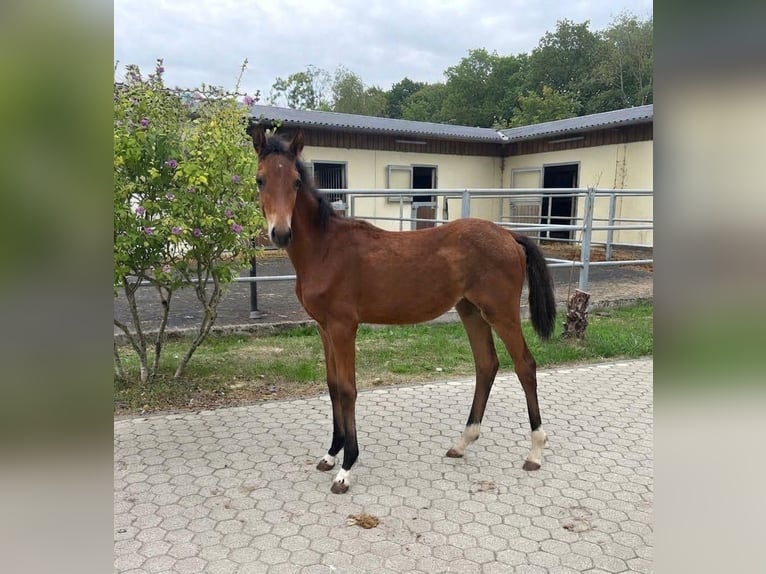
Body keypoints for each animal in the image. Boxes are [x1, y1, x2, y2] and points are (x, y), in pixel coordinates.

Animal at [248, 127, 556, 494]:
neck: (325, 249)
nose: (281, 233)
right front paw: (331, 454)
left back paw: (535, 451)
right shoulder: (324, 329)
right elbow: (332, 385)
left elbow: (348, 389)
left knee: (525, 366)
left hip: (501, 312)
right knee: (486, 365)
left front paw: (346, 467)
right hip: (470, 311)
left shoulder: (343, 327)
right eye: (260, 179)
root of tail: (509, 235)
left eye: (296, 181)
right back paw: (462, 442)